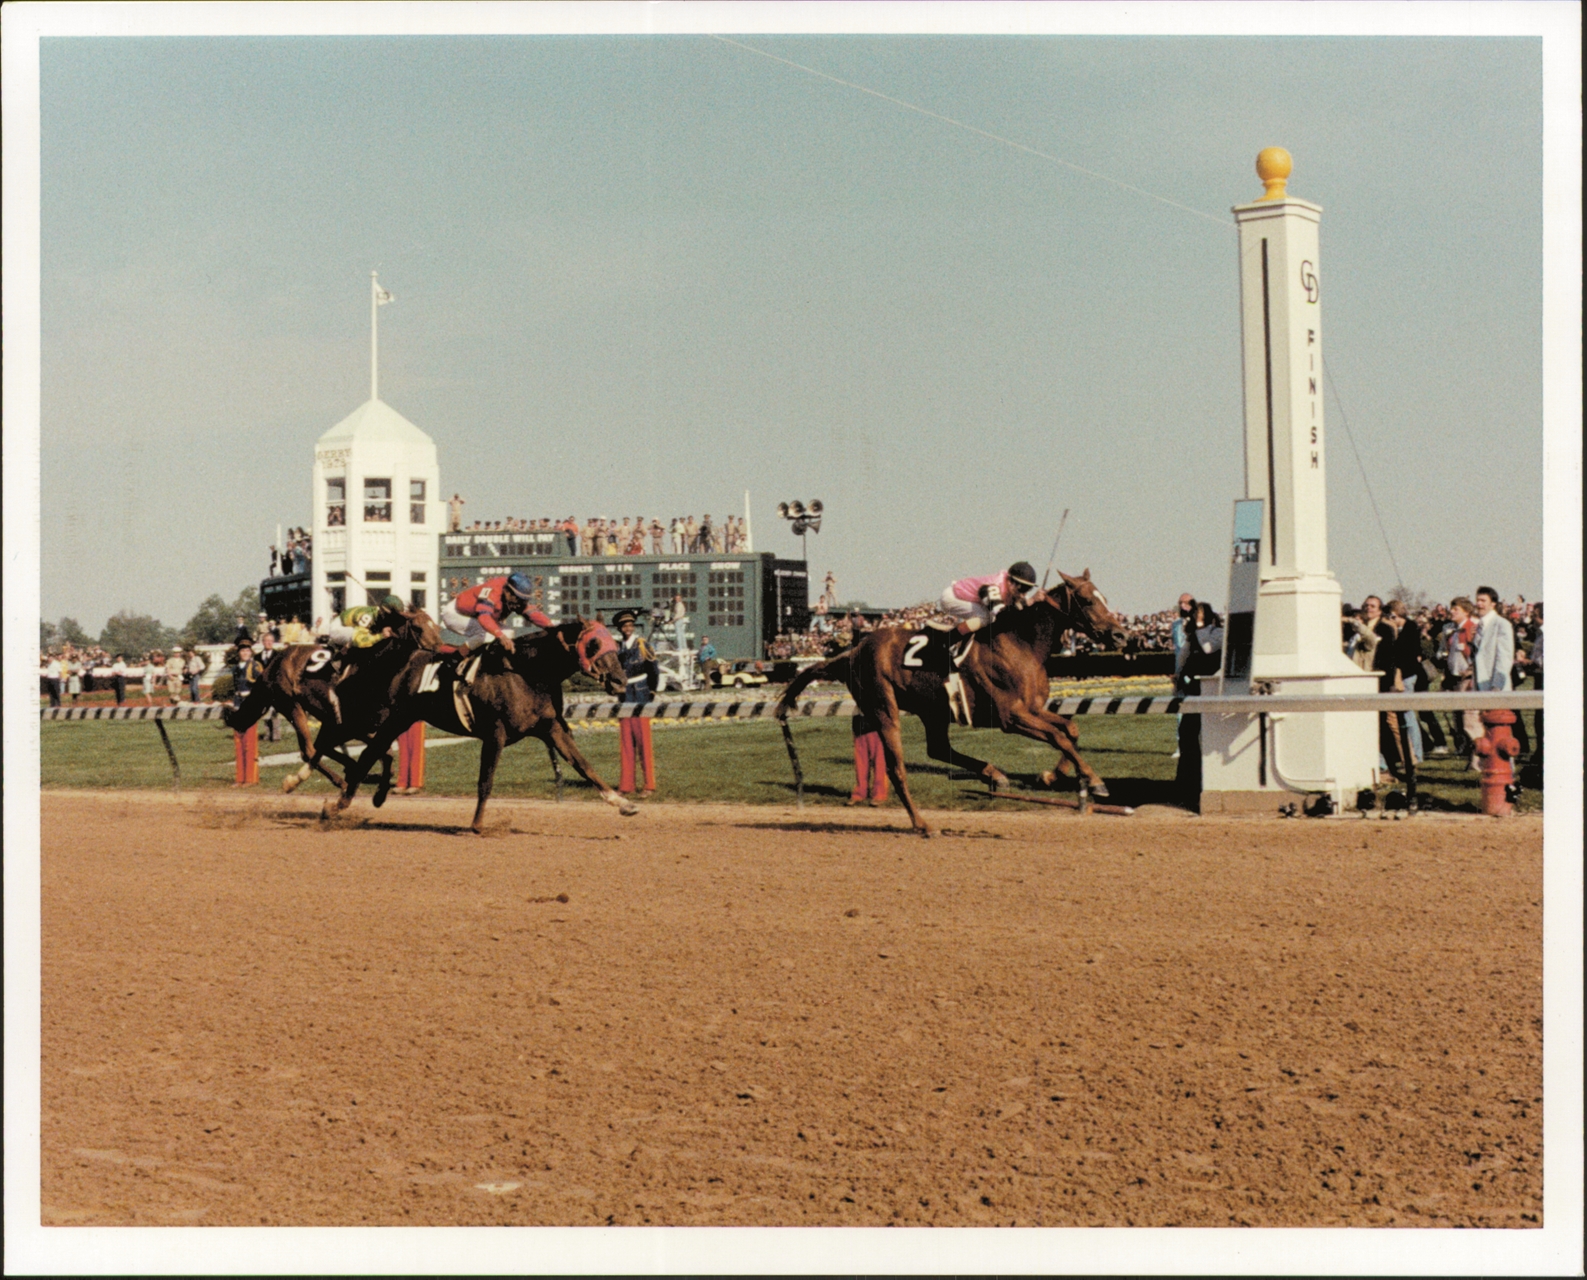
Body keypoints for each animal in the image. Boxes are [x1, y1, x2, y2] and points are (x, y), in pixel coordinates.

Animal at [322, 618, 631, 831]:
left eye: (614, 644)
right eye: (593, 644)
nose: (620, 681)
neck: (528, 672)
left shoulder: (551, 727)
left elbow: (584, 765)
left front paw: (623, 803)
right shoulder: (495, 733)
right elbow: (486, 779)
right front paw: (478, 825)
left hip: (400, 718)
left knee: (372, 753)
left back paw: (371, 796)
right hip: (384, 718)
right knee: (363, 753)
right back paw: (337, 805)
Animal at [771, 574, 1123, 843]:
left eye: (1104, 597)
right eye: (1087, 600)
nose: (1119, 634)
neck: (1020, 645)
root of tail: (851, 650)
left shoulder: (1033, 710)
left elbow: (1070, 729)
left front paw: (1051, 776)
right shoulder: (1011, 717)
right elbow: (1058, 736)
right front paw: (1096, 782)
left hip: (933, 710)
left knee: (938, 748)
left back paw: (994, 775)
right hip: (884, 707)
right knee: (897, 769)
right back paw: (924, 825)